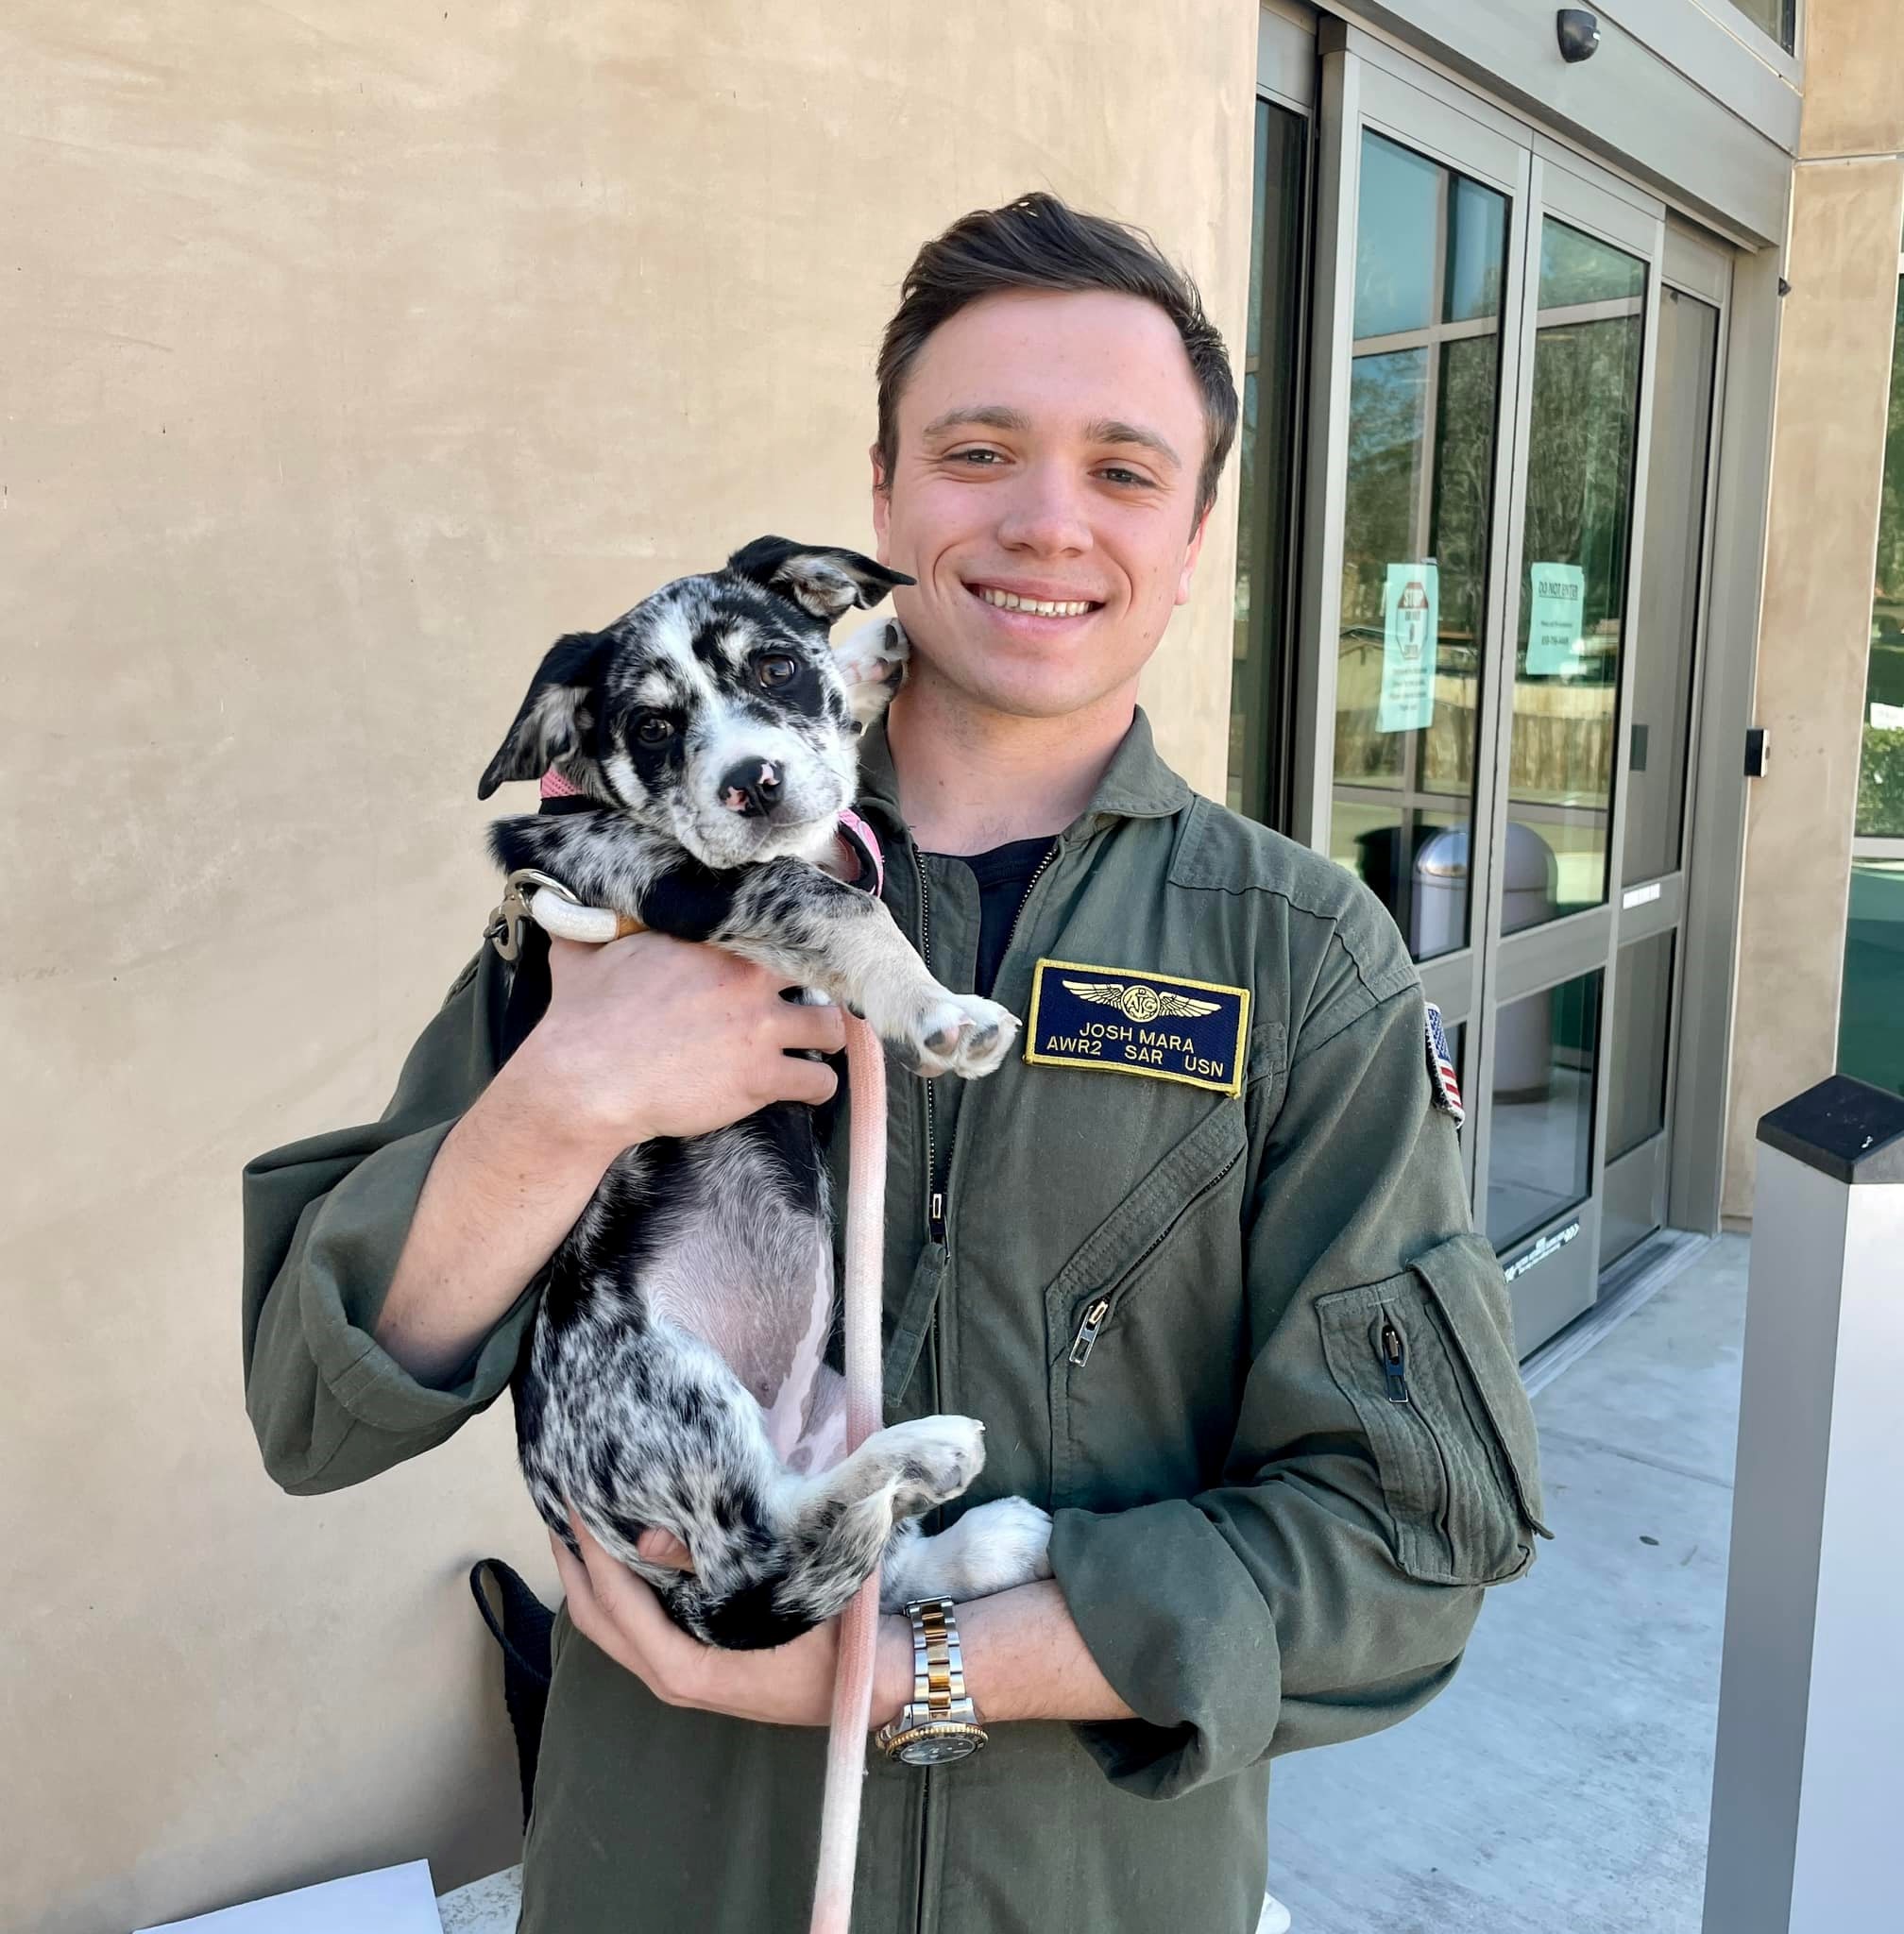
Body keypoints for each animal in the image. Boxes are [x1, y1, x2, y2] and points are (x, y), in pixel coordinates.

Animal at [480, 534, 1052, 1647]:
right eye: (653, 727)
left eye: (776, 666)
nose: (754, 782)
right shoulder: (690, 884)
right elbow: (839, 902)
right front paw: (939, 1011)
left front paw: (869, 658)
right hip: (663, 1383)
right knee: (770, 1543)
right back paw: (925, 1455)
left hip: (823, 1388)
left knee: (868, 1576)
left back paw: (981, 1537)